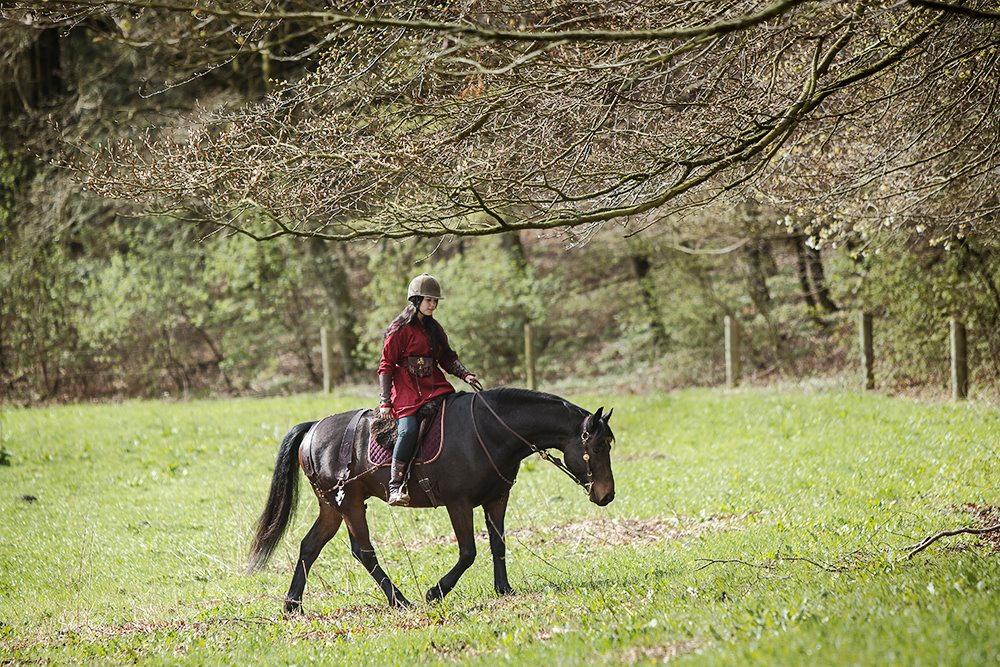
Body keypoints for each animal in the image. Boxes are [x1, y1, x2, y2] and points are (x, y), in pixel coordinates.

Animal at [246, 388, 612, 612]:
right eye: (596, 447)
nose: (606, 494)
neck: (492, 430)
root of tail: (313, 429)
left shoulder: (497, 498)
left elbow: (498, 544)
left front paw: (504, 589)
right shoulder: (458, 503)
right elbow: (468, 552)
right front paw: (436, 592)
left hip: (331, 507)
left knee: (310, 546)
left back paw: (293, 605)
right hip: (349, 503)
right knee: (362, 551)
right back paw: (400, 600)